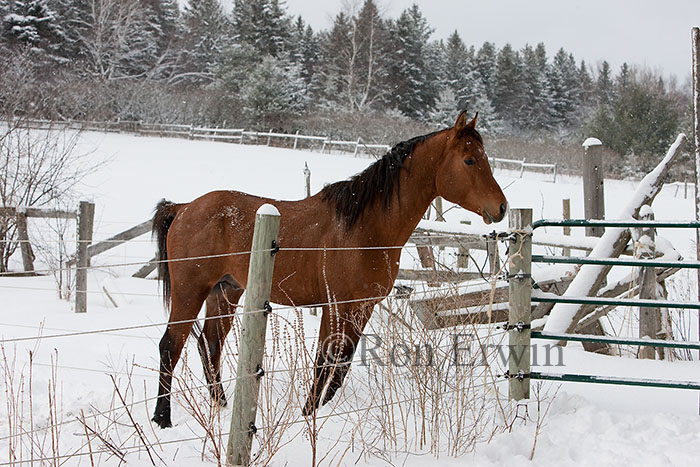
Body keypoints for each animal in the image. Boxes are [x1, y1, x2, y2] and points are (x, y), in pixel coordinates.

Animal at [150, 112, 507, 428]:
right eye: (469, 161)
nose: (501, 207)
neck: (365, 229)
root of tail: (184, 208)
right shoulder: (336, 306)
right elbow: (324, 361)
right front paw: (307, 415)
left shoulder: (361, 307)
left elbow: (342, 362)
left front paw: (317, 411)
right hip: (191, 291)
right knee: (171, 345)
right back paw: (162, 418)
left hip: (225, 291)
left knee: (209, 345)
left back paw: (222, 406)